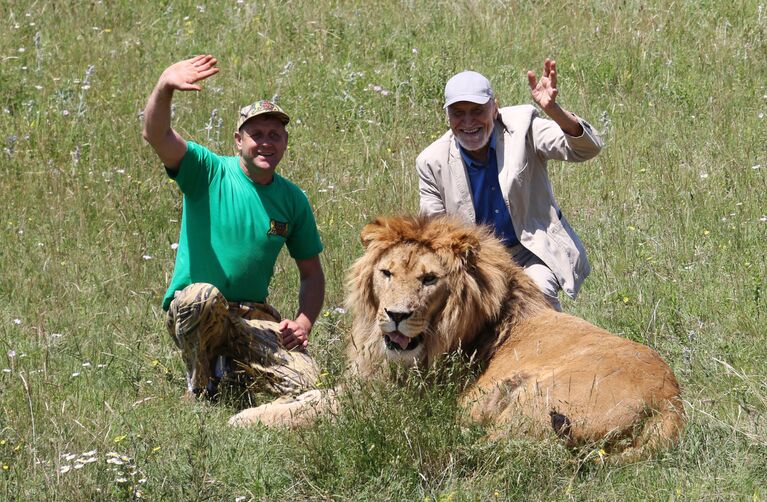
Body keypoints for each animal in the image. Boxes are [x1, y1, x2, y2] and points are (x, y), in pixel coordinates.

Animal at [231, 216, 688, 462]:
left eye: (429, 279)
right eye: (386, 273)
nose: (396, 316)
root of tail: (671, 406)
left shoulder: (395, 401)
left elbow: (315, 412)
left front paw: (248, 421)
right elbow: (314, 397)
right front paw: (265, 407)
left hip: (533, 398)